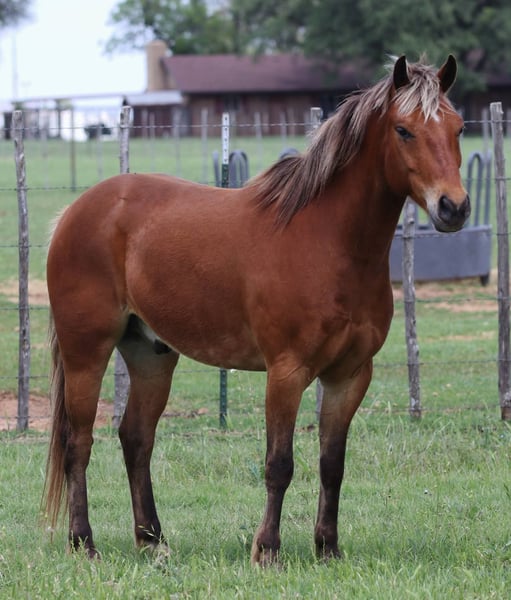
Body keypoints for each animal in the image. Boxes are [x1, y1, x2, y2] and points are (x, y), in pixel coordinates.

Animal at [43, 55, 469, 565]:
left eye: (459, 128)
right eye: (404, 130)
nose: (454, 208)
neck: (329, 242)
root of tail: (75, 212)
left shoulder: (349, 376)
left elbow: (332, 463)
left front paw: (328, 548)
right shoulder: (286, 372)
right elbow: (279, 464)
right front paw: (267, 550)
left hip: (150, 355)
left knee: (136, 439)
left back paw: (153, 540)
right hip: (86, 352)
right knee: (78, 442)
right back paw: (82, 543)